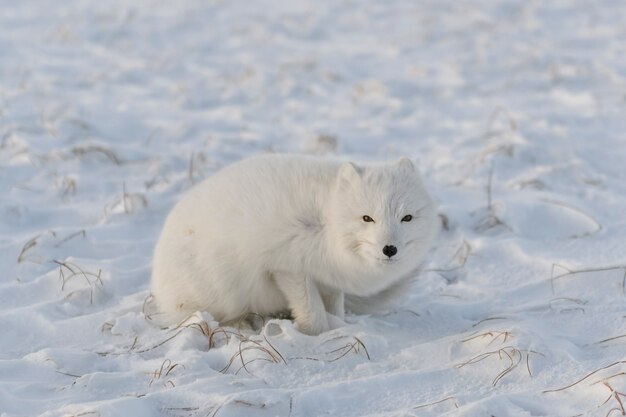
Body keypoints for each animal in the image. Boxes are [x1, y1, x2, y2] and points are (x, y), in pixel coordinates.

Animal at [149, 154, 436, 334]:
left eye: (407, 218)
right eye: (367, 218)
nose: (390, 249)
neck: (325, 220)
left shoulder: (331, 277)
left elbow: (335, 306)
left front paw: (339, 325)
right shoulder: (288, 267)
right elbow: (313, 313)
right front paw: (314, 335)